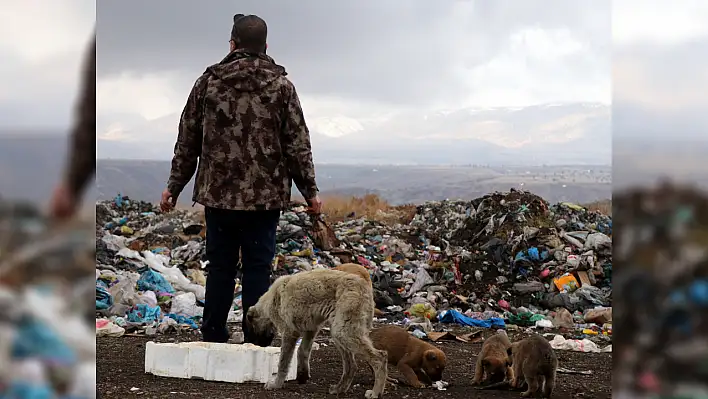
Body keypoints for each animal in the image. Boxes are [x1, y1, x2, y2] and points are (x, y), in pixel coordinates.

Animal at [245, 270, 388, 398]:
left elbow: (283, 363)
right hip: (338, 332)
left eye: (253, 328)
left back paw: (375, 392)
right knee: (351, 366)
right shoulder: (311, 329)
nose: (259, 344)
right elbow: (302, 351)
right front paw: (302, 375)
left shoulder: (289, 332)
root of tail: (365, 287)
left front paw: (276, 384)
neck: (273, 297)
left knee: (380, 357)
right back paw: (339, 389)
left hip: (343, 332)